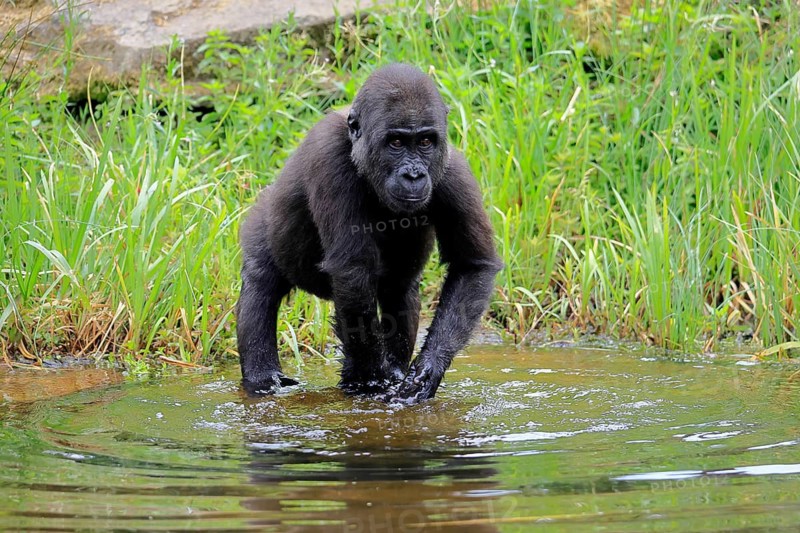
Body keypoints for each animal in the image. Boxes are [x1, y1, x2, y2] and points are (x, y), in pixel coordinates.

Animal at [236, 63, 502, 403]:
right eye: (397, 143)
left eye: (425, 142)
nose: (414, 175)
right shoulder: (329, 159)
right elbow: (353, 271)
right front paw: (371, 380)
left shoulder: (454, 171)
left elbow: (472, 265)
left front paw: (426, 371)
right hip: (261, 221)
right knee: (261, 284)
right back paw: (263, 378)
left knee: (400, 291)